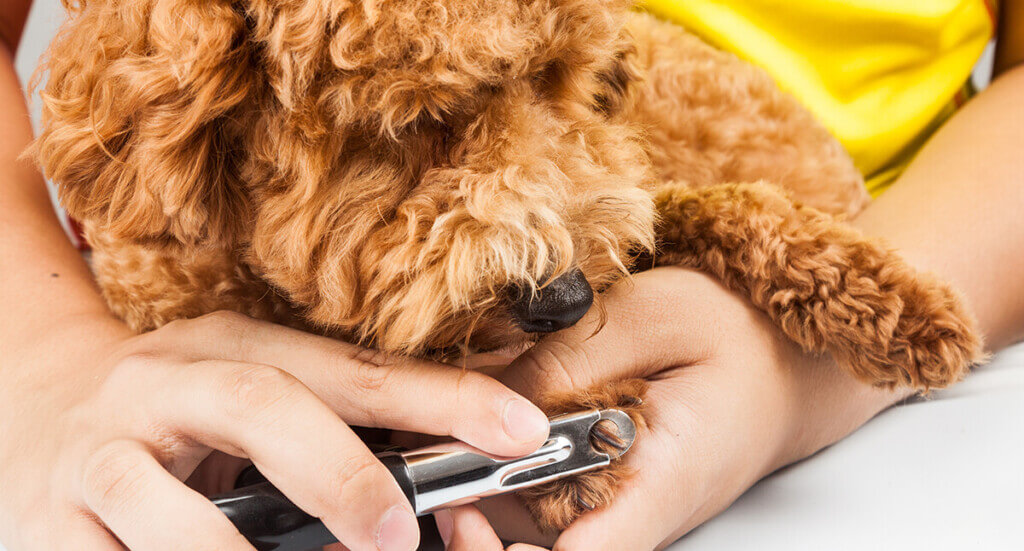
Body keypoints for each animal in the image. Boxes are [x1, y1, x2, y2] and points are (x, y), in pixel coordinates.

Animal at [36, 0, 983, 532]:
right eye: (415, 120)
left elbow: (711, 208)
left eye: (570, 82)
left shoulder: (630, 189)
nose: (564, 300)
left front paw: (905, 307)